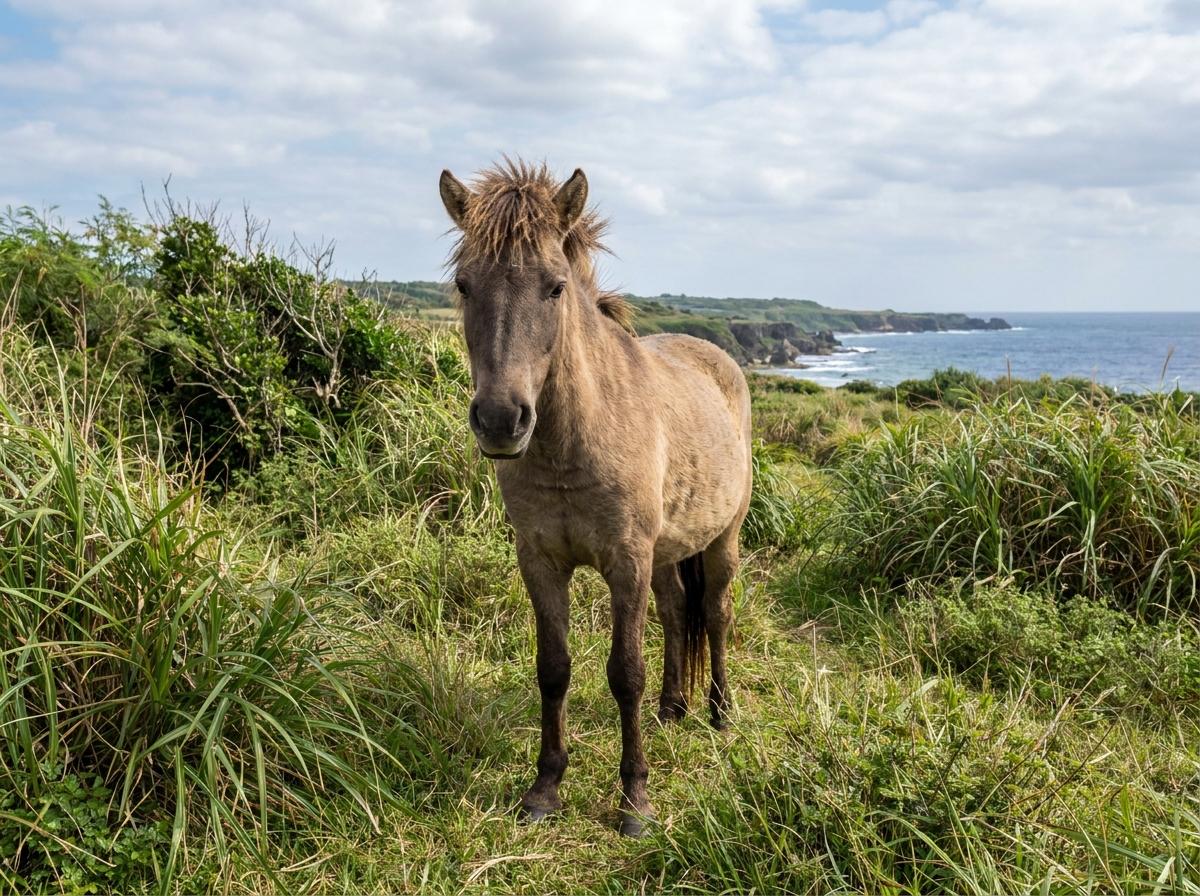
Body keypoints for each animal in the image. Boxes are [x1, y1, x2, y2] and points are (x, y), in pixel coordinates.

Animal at [438, 159, 752, 837]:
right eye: (464, 286)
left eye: (555, 287)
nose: (501, 421)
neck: (573, 442)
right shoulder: (541, 561)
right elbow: (553, 668)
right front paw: (544, 789)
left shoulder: (624, 561)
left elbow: (624, 673)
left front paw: (635, 801)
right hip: (666, 553)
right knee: (675, 612)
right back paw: (672, 708)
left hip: (722, 539)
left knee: (714, 613)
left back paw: (719, 712)